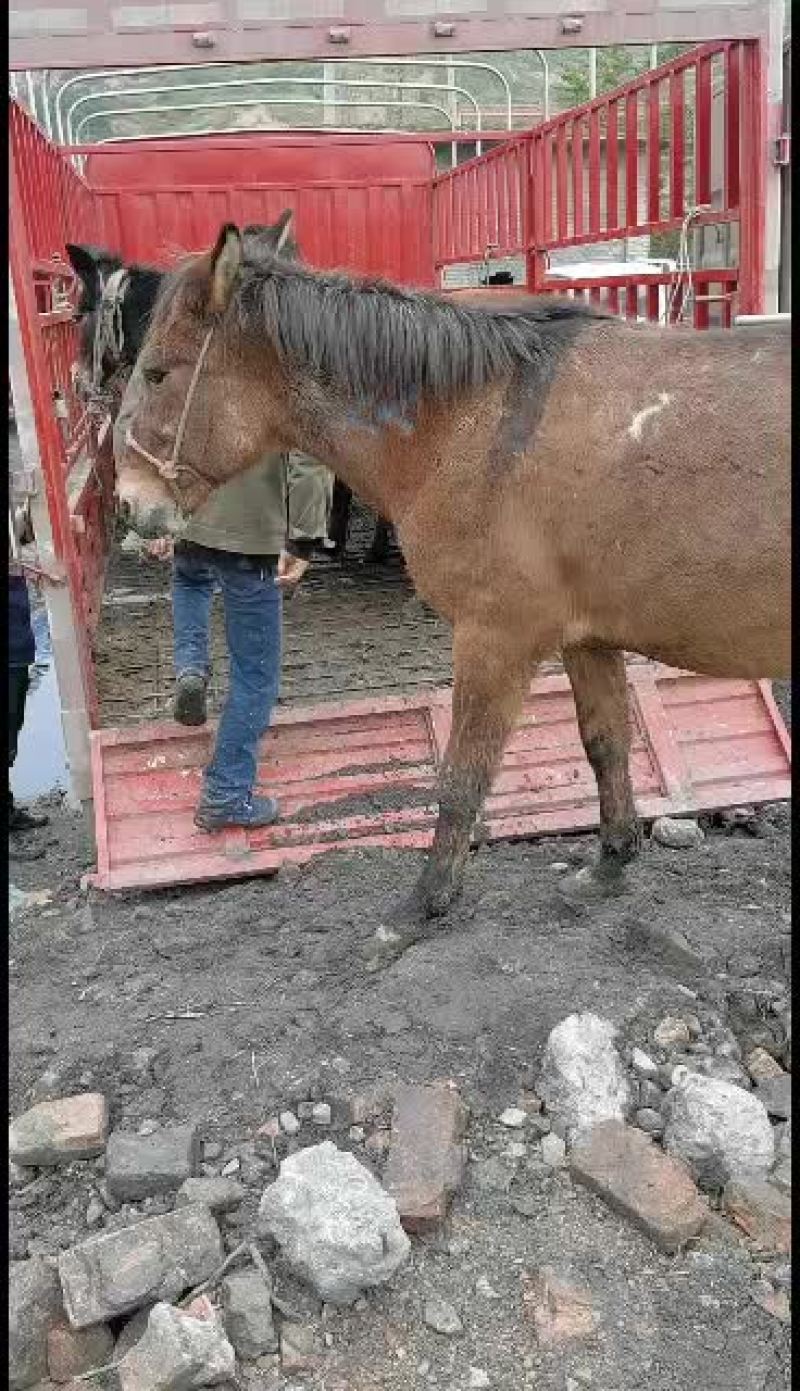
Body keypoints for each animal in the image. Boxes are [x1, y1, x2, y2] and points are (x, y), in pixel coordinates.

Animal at [114, 223, 790, 969]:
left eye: (158, 372)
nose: (130, 504)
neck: (481, 424)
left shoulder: (495, 640)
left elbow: (462, 779)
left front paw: (419, 906)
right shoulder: (586, 639)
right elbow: (605, 745)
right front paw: (609, 864)